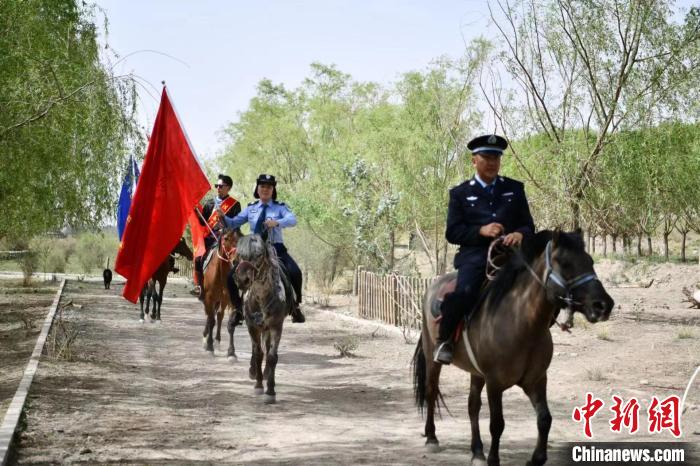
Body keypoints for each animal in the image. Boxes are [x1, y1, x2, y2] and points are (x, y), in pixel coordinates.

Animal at [232, 233, 292, 404]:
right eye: (239, 254)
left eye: (259, 254)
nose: (242, 279)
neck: (260, 299)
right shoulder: (252, 327)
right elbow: (258, 354)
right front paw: (258, 386)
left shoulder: (276, 327)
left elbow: (272, 357)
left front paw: (270, 391)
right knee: (257, 349)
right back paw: (254, 372)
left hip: (267, 328)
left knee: (267, 348)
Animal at [412, 231, 616, 464]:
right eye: (565, 263)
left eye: (590, 261)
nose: (603, 305)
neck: (521, 324)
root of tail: (434, 285)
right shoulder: (495, 384)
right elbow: (497, 424)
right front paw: (494, 459)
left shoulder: (536, 381)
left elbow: (545, 418)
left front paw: (536, 458)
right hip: (432, 358)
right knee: (431, 391)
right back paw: (432, 438)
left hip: (477, 373)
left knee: (473, 406)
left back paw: (477, 451)